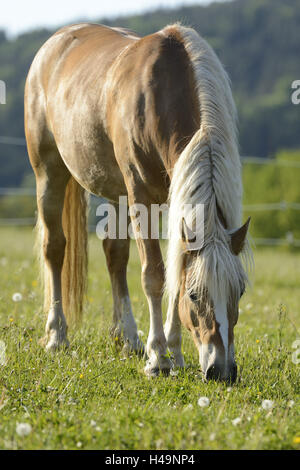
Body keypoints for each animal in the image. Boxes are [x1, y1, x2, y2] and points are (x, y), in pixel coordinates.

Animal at [24, 21, 252, 382]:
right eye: (195, 295)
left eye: (239, 291)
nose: (223, 370)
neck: (163, 92)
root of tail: (57, 40)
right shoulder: (140, 196)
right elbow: (154, 275)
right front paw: (158, 357)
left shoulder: (172, 202)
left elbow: (173, 271)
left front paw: (174, 352)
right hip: (49, 173)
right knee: (54, 248)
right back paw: (57, 335)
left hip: (115, 191)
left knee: (115, 255)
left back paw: (127, 337)